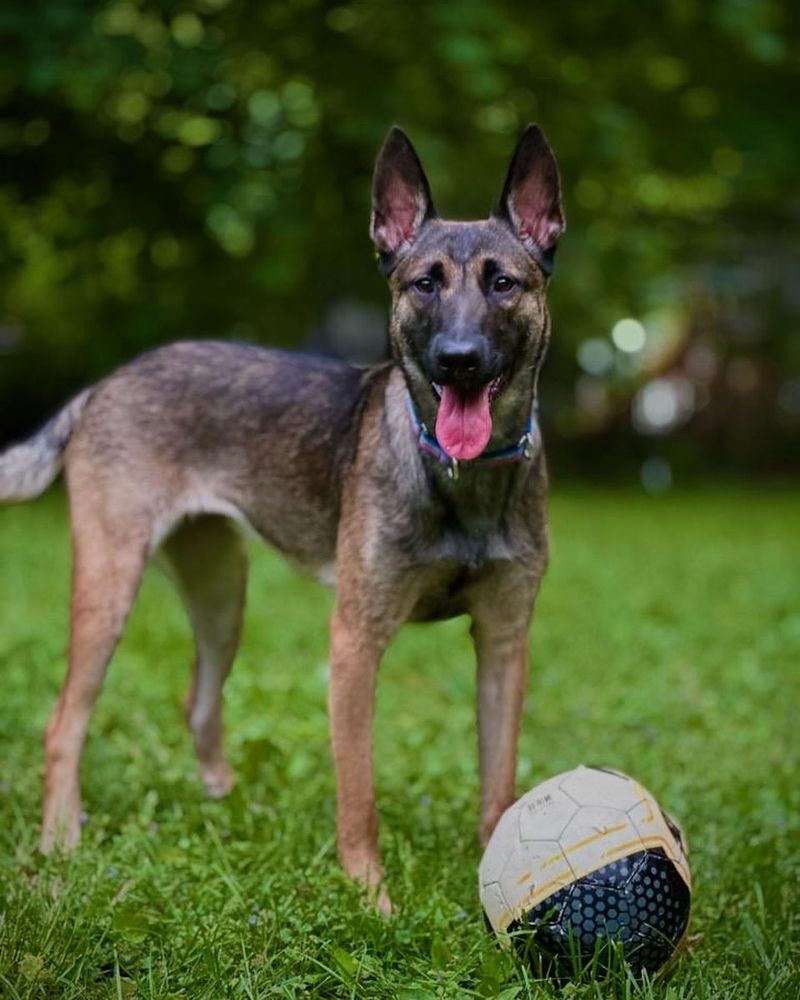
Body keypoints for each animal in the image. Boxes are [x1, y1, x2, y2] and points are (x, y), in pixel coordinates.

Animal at [0, 125, 564, 916]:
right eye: (423, 284)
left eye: (503, 283)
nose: (458, 360)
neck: (460, 479)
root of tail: (107, 382)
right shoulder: (355, 642)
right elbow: (358, 796)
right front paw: (369, 900)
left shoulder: (505, 643)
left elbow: (499, 787)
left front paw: (501, 891)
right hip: (109, 587)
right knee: (64, 722)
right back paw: (60, 840)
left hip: (221, 593)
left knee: (198, 702)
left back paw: (228, 808)